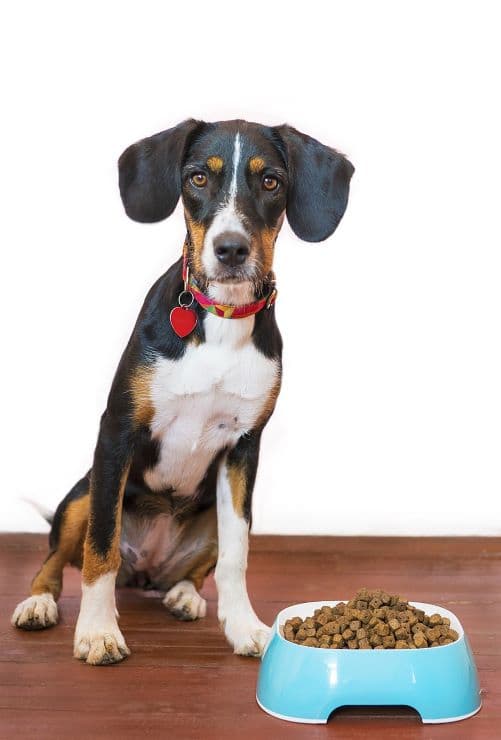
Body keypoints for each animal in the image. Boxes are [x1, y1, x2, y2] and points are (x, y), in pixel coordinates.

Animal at [12, 117, 356, 664]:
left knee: (196, 569)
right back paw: (39, 604)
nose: (231, 249)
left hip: (212, 512)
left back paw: (183, 595)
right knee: (60, 555)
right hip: (83, 492)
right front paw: (97, 631)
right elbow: (99, 548)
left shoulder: (243, 450)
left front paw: (242, 627)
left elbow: (236, 558)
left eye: (271, 181)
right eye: (198, 178)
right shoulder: (117, 433)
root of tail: (145, 568)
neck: (222, 320)